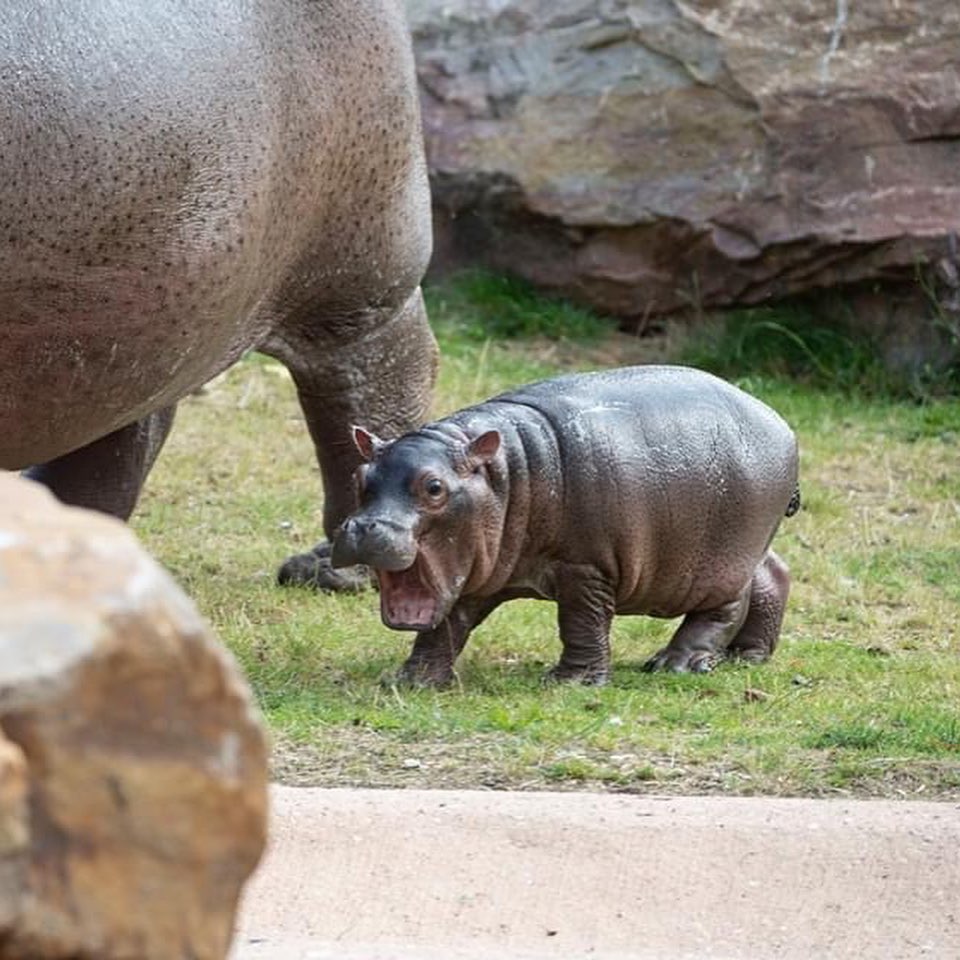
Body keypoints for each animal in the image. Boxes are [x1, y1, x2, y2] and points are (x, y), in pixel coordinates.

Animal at [334, 364, 800, 688]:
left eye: (434, 487)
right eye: (359, 477)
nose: (363, 527)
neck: (504, 472)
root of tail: (781, 423)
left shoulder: (586, 566)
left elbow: (581, 621)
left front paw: (572, 682)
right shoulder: (474, 568)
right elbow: (446, 625)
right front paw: (409, 680)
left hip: (724, 555)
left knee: (727, 605)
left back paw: (675, 664)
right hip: (747, 545)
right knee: (773, 573)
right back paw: (748, 656)